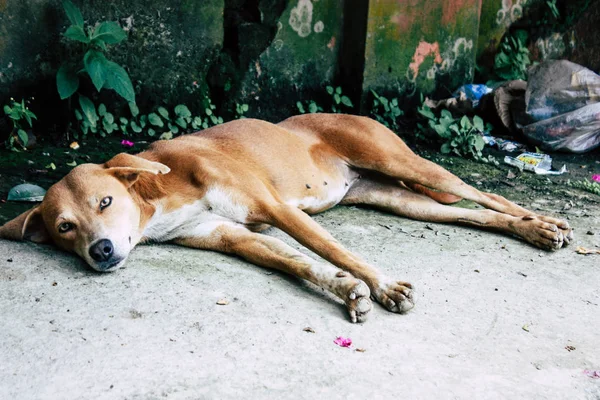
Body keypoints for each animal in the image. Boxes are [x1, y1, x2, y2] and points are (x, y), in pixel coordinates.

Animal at [0, 114, 576, 324]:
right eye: (64, 228)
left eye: (104, 203)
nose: (101, 252)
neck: (160, 194)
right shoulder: (231, 236)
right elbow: (300, 264)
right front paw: (349, 291)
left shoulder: (274, 209)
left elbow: (336, 250)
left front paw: (383, 285)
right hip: (395, 197)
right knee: (473, 218)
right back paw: (531, 230)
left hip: (405, 163)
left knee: (486, 194)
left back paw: (542, 221)